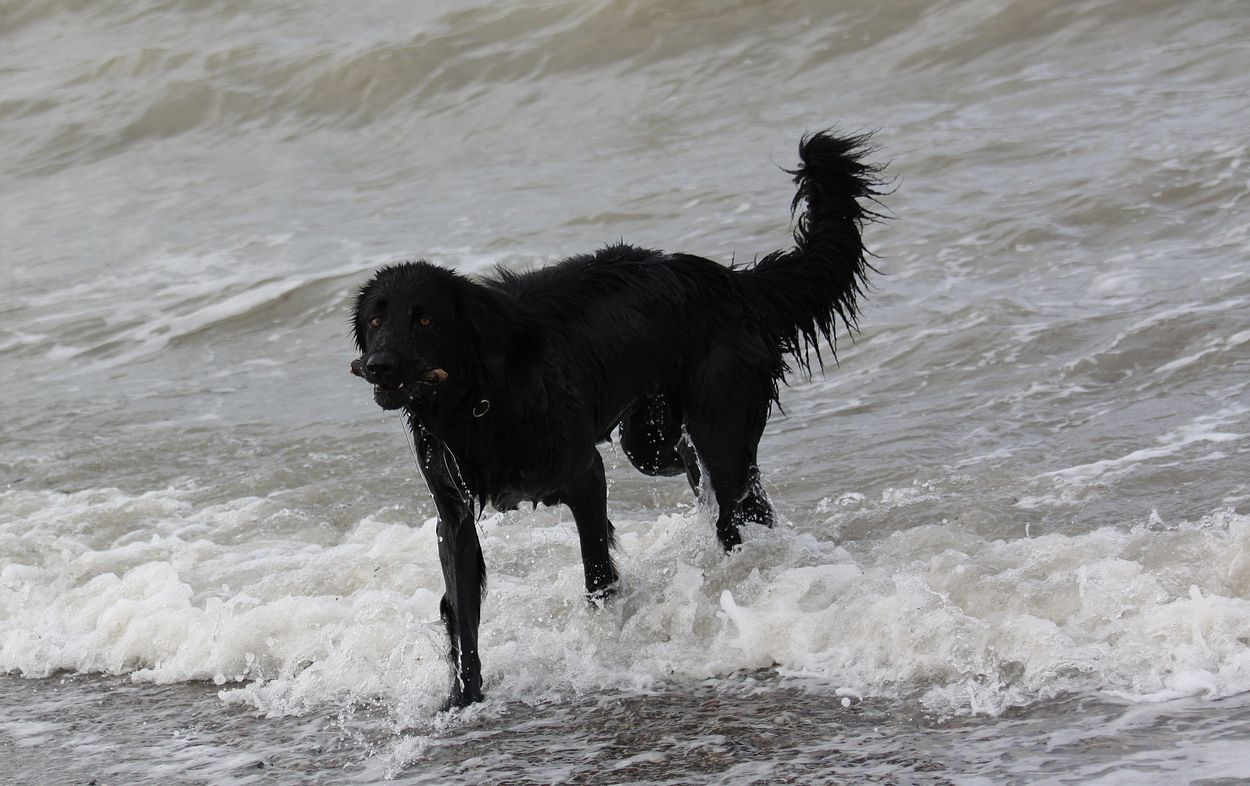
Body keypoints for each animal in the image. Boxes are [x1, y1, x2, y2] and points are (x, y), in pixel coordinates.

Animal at [350, 131, 883, 707]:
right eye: (375, 320)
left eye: (425, 319)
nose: (378, 366)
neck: (479, 397)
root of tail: (730, 280)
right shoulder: (453, 517)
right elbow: (463, 611)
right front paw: (463, 698)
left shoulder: (585, 475)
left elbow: (597, 573)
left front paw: (607, 633)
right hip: (649, 439)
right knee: (718, 479)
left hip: (716, 426)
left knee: (733, 499)